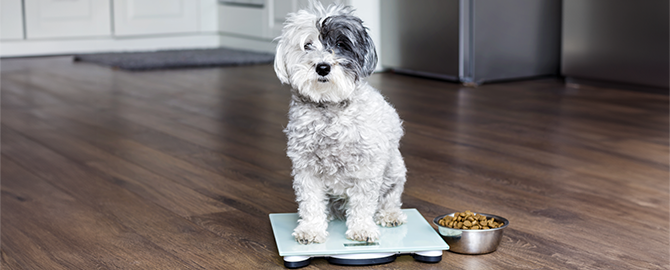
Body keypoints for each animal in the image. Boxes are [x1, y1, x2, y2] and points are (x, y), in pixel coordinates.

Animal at [274, 0, 410, 245]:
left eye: (340, 44)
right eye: (307, 45)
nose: (323, 67)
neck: (330, 108)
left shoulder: (367, 169)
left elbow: (364, 204)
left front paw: (362, 229)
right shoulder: (306, 169)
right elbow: (310, 202)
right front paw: (311, 228)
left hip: (395, 169)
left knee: (390, 197)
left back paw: (390, 214)